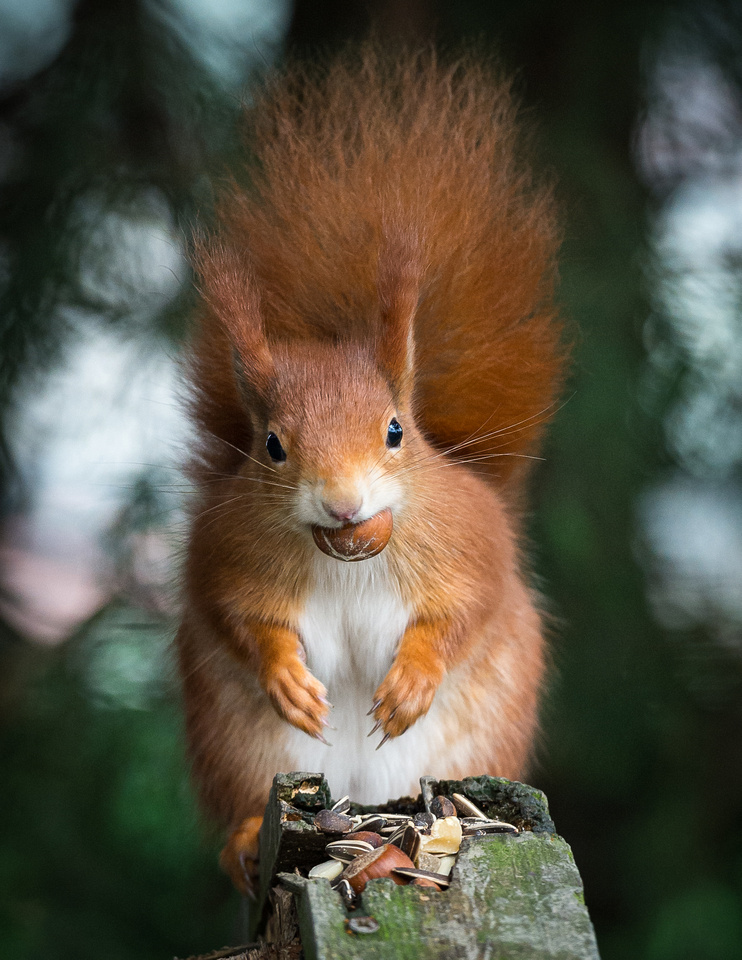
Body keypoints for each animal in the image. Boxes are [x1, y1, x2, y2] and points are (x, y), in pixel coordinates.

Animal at [177, 45, 568, 892]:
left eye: (395, 431)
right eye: (272, 445)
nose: (344, 503)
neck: (352, 554)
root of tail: (362, 798)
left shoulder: (470, 546)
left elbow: (462, 612)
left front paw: (412, 678)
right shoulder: (225, 556)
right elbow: (240, 616)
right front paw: (286, 675)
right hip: (242, 744)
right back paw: (250, 835)